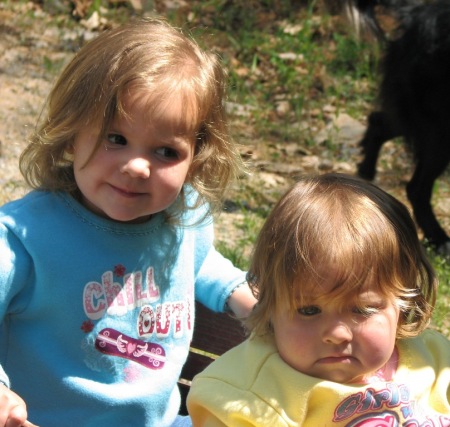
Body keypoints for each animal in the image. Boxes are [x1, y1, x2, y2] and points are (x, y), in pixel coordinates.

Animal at [340, 0, 450, 254]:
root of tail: (416, 16)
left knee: (379, 121)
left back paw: (366, 170)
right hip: (437, 127)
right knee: (417, 188)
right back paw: (439, 239)